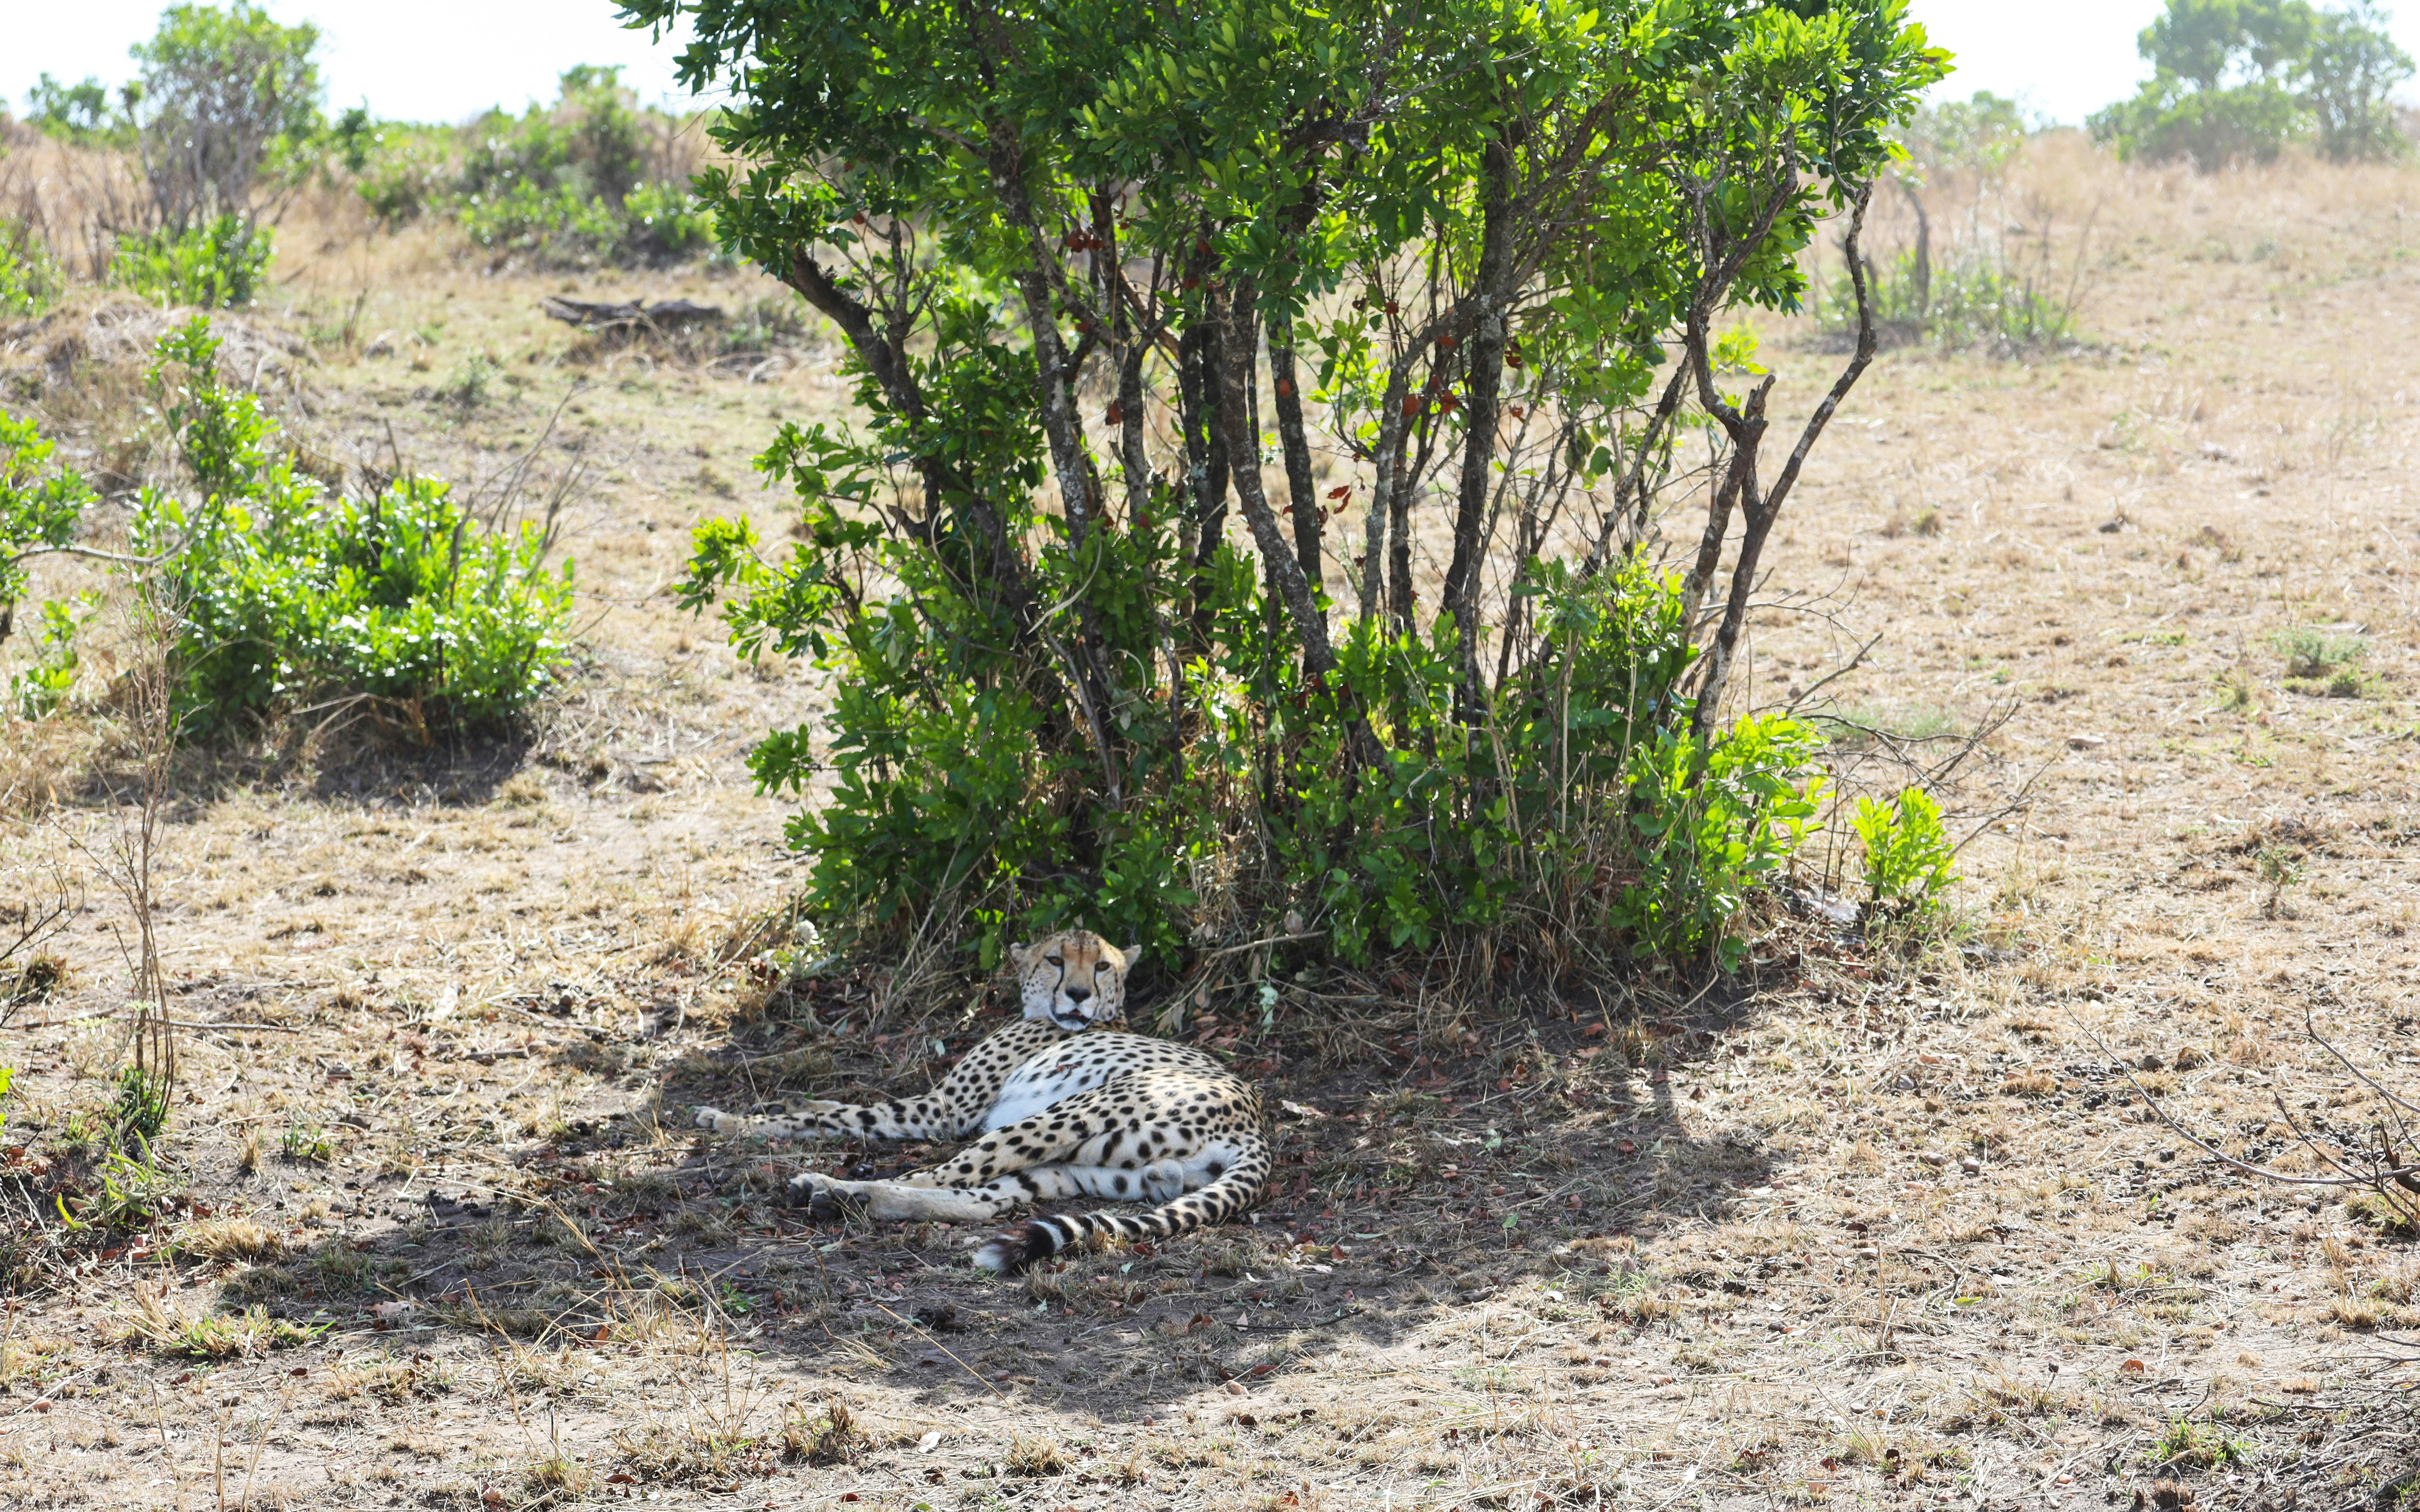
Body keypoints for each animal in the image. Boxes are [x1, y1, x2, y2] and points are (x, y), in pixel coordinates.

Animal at [689, 928, 1270, 1273]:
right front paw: (774, 1110)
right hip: (1084, 1170)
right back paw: (851, 1199)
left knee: (935, 1176)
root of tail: (1256, 1125)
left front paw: (727, 1121)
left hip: (1068, 1114)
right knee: (977, 1200)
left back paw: (833, 1188)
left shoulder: (943, 1111)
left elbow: (846, 1115)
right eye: (1056, 960)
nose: (1079, 995)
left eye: (1102, 967)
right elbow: (832, 1110)